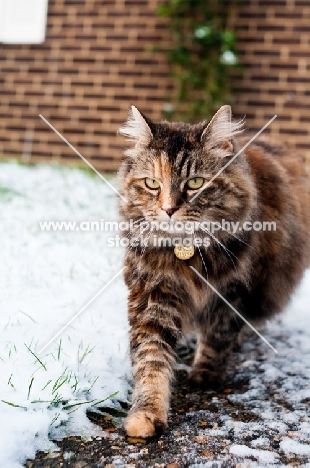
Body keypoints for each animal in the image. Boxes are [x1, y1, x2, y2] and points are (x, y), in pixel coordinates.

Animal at [116, 105, 310, 438]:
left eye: (195, 183)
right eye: (152, 183)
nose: (169, 209)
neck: (188, 254)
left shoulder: (237, 292)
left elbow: (218, 337)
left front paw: (205, 376)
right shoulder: (154, 294)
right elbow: (151, 359)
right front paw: (146, 415)